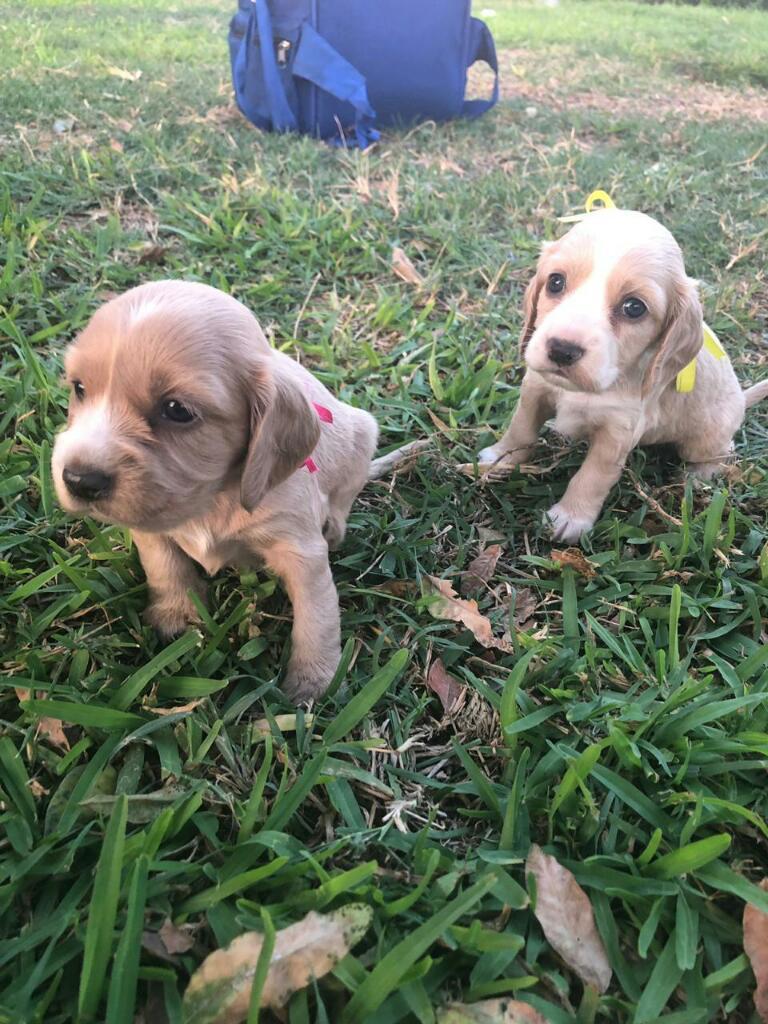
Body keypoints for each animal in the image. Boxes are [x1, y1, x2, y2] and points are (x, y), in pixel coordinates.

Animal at [51, 282, 378, 704]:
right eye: (79, 388)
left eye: (177, 409)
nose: (77, 479)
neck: (213, 498)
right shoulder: (150, 520)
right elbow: (164, 565)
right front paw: (176, 616)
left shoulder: (301, 551)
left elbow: (316, 614)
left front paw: (314, 680)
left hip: (363, 433)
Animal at [481, 206, 768, 544]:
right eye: (555, 282)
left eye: (634, 307)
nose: (562, 350)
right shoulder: (535, 388)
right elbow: (521, 430)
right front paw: (500, 457)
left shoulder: (618, 431)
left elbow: (593, 474)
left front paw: (570, 517)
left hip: (706, 440)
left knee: (724, 451)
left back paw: (699, 475)